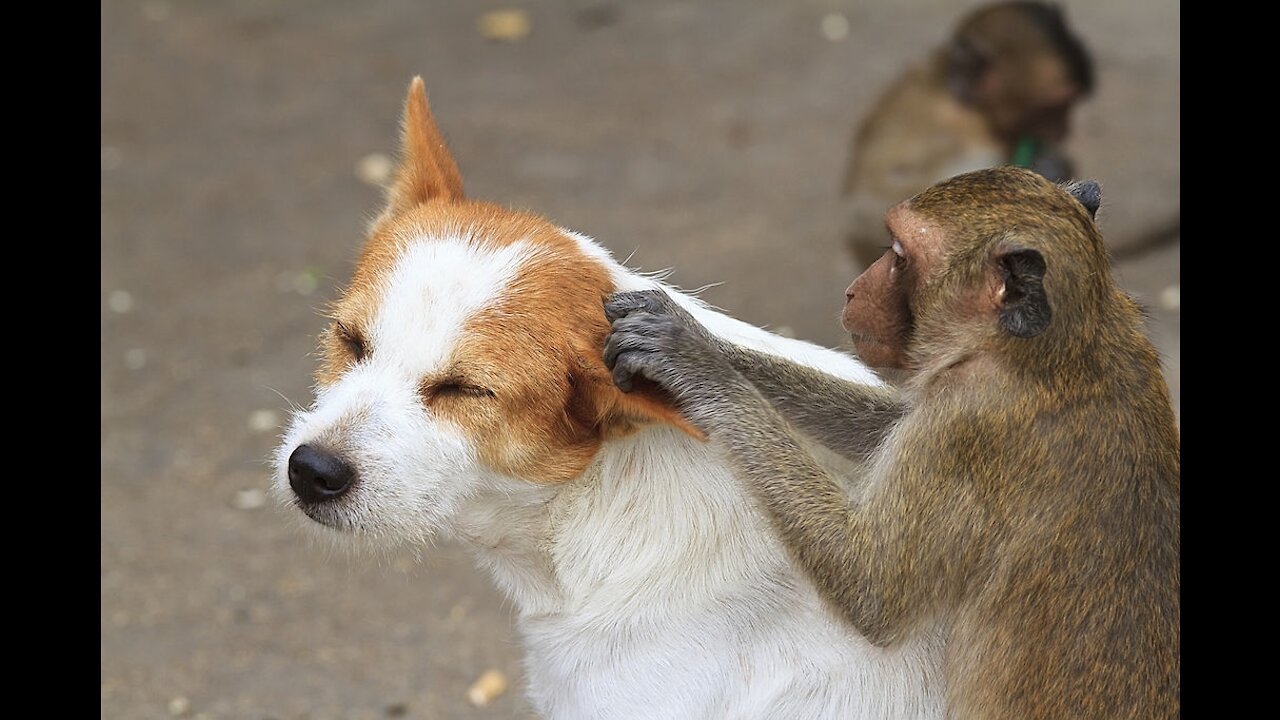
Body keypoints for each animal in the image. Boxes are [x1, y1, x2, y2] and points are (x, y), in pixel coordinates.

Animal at [604, 165, 1182, 712]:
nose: (854, 289)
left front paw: (697, 365)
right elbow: (887, 427)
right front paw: (711, 343)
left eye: (899, 255)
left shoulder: (966, 428)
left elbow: (868, 588)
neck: (1067, 344)